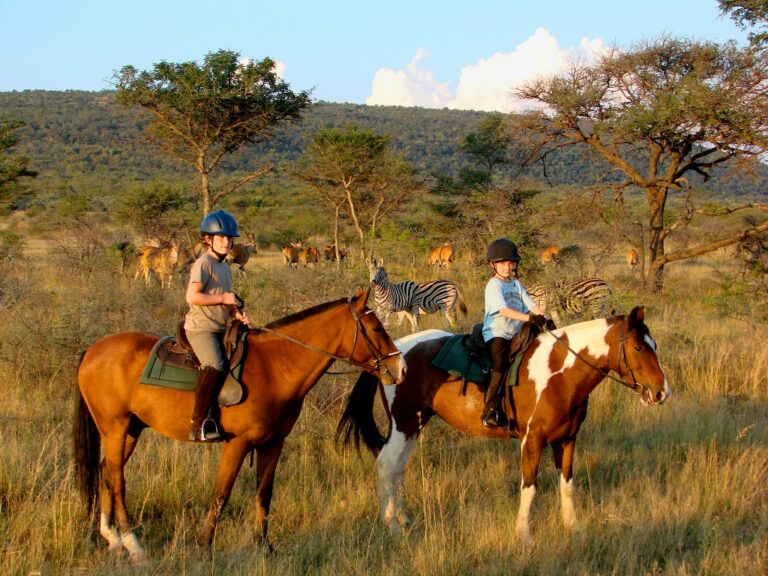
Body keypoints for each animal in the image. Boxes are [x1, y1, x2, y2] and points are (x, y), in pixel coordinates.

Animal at [73, 286, 406, 563]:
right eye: (376, 328)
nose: (400, 368)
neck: (275, 367)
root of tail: (91, 351)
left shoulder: (272, 443)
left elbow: (264, 493)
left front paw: (263, 545)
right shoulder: (238, 444)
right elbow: (222, 494)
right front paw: (204, 544)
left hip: (130, 430)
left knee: (106, 473)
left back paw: (113, 539)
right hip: (115, 428)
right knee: (117, 479)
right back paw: (133, 544)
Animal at [337, 307, 671, 544]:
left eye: (654, 344)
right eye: (639, 348)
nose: (662, 392)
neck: (559, 373)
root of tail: (390, 356)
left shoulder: (567, 439)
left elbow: (567, 485)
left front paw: (573, 528)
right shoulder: (532, 440)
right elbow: (529, 487)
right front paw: (524, 536)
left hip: (413, 427)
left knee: (397, 469)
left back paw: (403, 519)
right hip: (404, 425)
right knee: (386, 466)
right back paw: (392, 526)